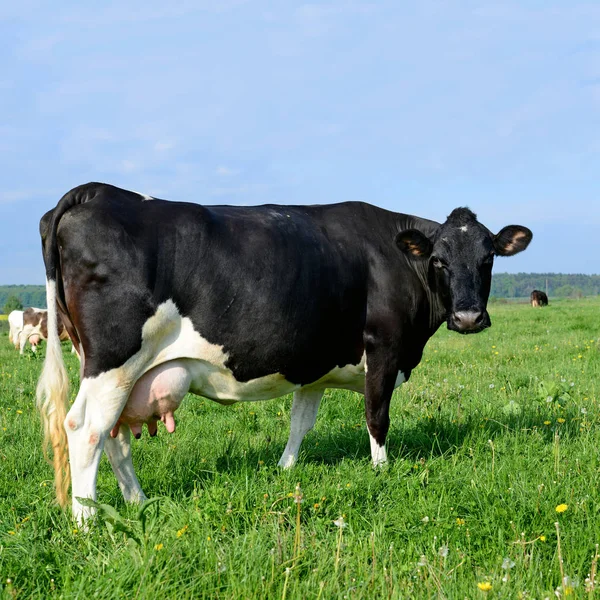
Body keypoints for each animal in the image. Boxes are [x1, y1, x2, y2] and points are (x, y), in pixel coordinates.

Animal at [37, 182, 532, 520]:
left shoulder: (314, 364)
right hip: (114, 359)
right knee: (86, 428)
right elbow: (376, 415)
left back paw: (138, 502)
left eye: (488, 258)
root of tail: (96, 191)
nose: (468, 317)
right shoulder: (384, 348)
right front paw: (382, 471)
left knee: (115, 434)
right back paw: (87, 519)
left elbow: (301, 423)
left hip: (117, 369)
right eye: (438, 261)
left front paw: (286, 469)